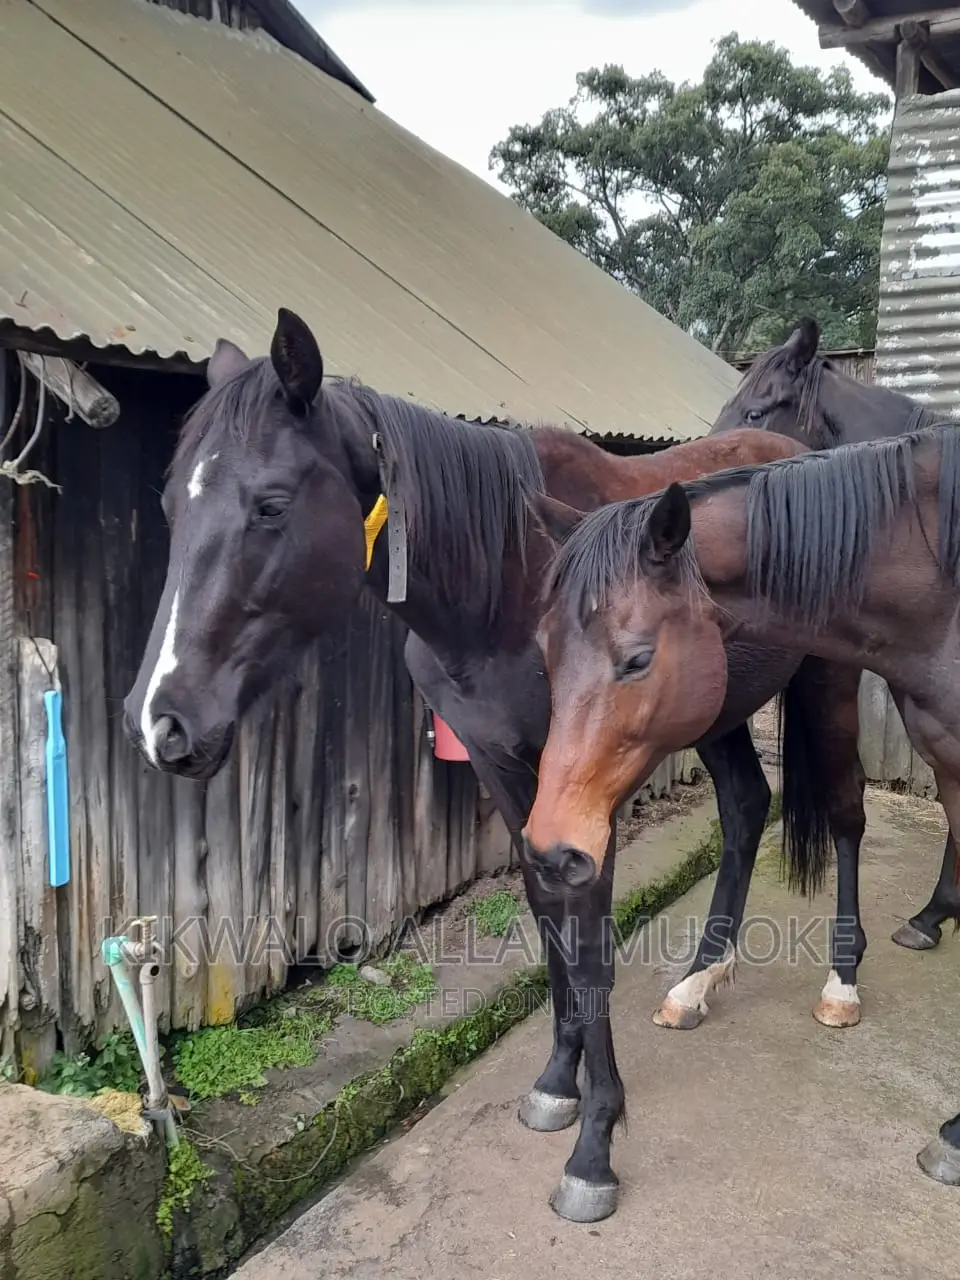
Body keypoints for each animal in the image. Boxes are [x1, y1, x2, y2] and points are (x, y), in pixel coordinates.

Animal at [122, 308, 867, 1224]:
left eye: (271, 504)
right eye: (169, 502)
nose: (160, 723)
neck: (515, 579)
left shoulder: (585, 790)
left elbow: (588, 942)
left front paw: (595, 1145)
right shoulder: (512, 776)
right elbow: (550, 921)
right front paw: (558, 1084)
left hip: (834, 680)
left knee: (845, 813)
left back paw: (842, 985)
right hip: (718, 714)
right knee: (745, 807)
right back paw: (697, 982)